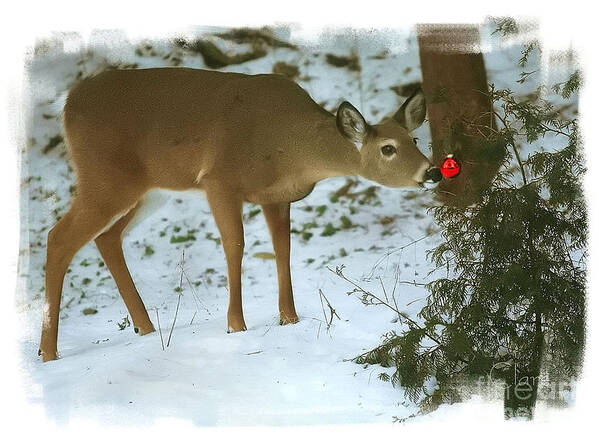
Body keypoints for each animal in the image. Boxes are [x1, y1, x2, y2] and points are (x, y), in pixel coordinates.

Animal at [37, 68, 440, 360]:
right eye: (388, 148)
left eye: (414, 140)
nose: (433, 171)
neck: (290, 147)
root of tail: (67, 102)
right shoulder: (219, 180)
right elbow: (235, 245)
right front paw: (236, 325)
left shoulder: (276, 197)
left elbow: (283, 250)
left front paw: (289, 318)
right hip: (104, 178)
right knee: (58, 237)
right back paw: (48, 352)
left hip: (150, 190)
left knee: (106, 236)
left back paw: (144, 328)